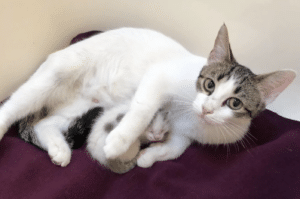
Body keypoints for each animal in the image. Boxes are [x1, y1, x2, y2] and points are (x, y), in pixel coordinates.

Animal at [0, 24, 296, 169]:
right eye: (209, 84)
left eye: (234, 103)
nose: (208, 109)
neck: (190, 116)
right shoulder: (159, 76)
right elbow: (142, 109)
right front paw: (118, 141)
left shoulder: (186, 135)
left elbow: (176, 149)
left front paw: (147, 157)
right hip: (52, 77)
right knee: (12, 108)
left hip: (80, 107)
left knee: (44, 123)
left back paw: (59, 149)